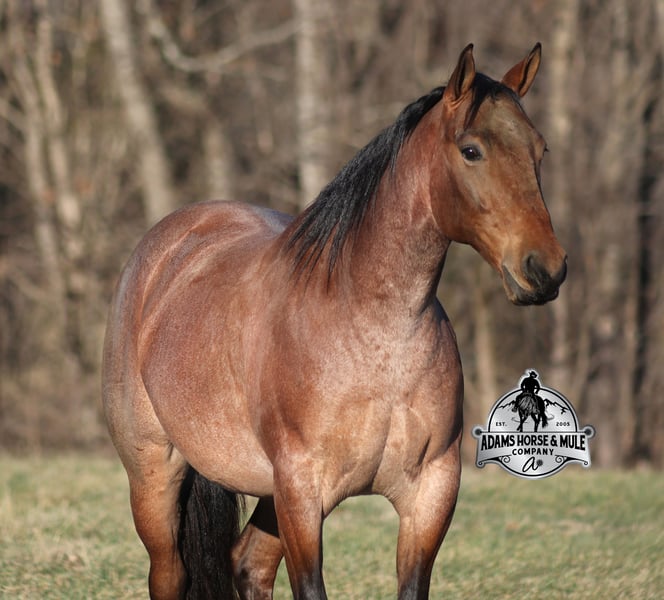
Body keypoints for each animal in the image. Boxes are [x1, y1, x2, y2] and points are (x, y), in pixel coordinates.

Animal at [102, 43, 566, 600]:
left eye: (540, 150)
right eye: (471, 150)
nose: (544, 269)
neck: (376, 335)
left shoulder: (430, 493)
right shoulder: (302, 494)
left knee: (248, 563)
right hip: (156, 475)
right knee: (170, 573)